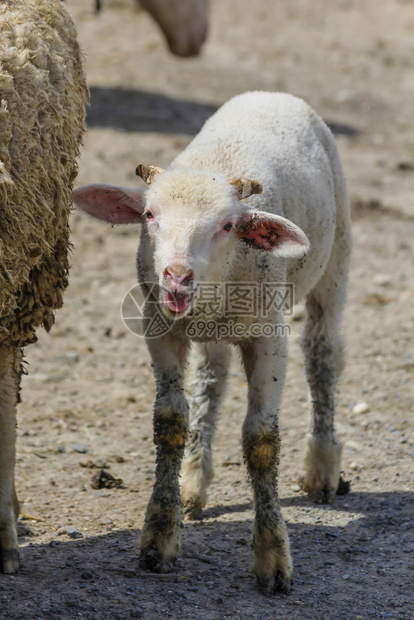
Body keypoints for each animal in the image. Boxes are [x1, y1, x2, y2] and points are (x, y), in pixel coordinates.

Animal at [74, 92, 352, 596]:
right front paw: (159, 539)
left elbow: (261, 440)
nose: (176, 277)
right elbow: (170, 421)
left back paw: (322, 467)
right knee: (213, 378)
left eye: (227, 225)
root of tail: (271, 94)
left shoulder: (268, 334)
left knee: (322, 356)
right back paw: (193, 481)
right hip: (214, 332)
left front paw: (272, 559)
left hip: (336, 259)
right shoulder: (159, 326)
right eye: (149, 215)